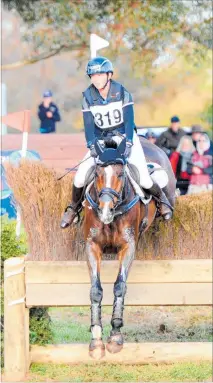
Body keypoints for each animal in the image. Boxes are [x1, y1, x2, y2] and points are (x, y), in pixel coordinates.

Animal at [82, 137, 176, 360]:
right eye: (97, 174)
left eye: (120, 174)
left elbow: (119, 286)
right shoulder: (92, 246)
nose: (105, 209)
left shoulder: (128, 246)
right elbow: (96, 290)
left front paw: (115, 336)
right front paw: (96, 340)